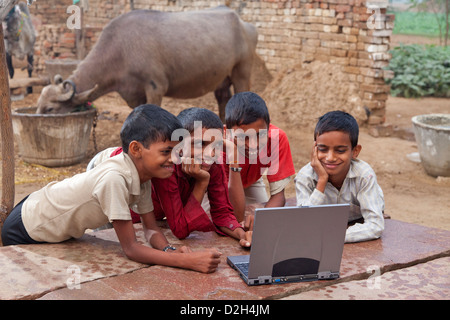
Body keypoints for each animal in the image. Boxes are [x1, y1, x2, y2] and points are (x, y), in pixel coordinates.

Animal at [36, 7, 256, 120]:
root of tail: (245, 24)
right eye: (38, 104)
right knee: (223, 99)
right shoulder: (132, 95)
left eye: (50, 109)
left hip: (242, 72)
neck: (121, 50)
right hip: (222, 79)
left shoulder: (156, 87)